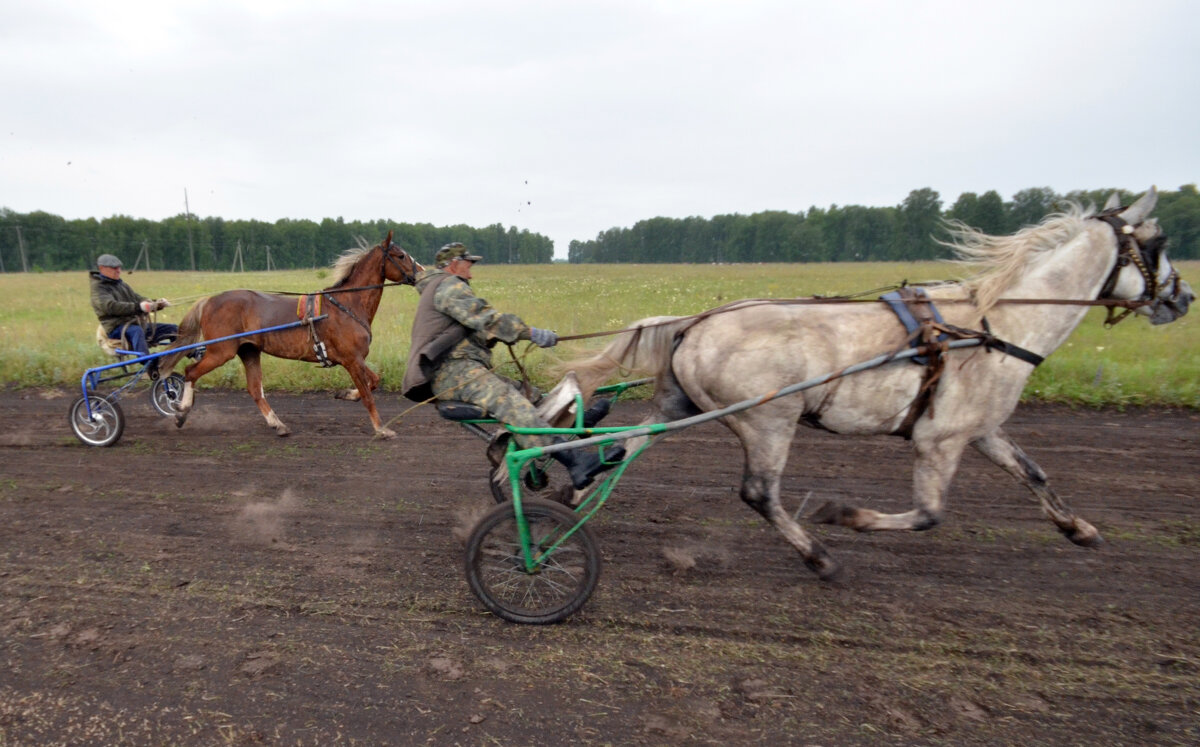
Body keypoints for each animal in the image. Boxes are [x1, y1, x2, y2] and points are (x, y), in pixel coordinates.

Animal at [159, 232, 422, 439]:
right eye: (400, 255)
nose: (420, 272)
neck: (347, 305)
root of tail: (209, 300)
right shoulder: (352, 359)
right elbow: (369, 393)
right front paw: (381, 429)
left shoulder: (355, 360)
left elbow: (374, 382)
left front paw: (345, 394)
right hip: (221, 351)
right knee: (191, 372)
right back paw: (181, 412)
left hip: (249, 351)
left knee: (255, 390)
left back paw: (278, 424)